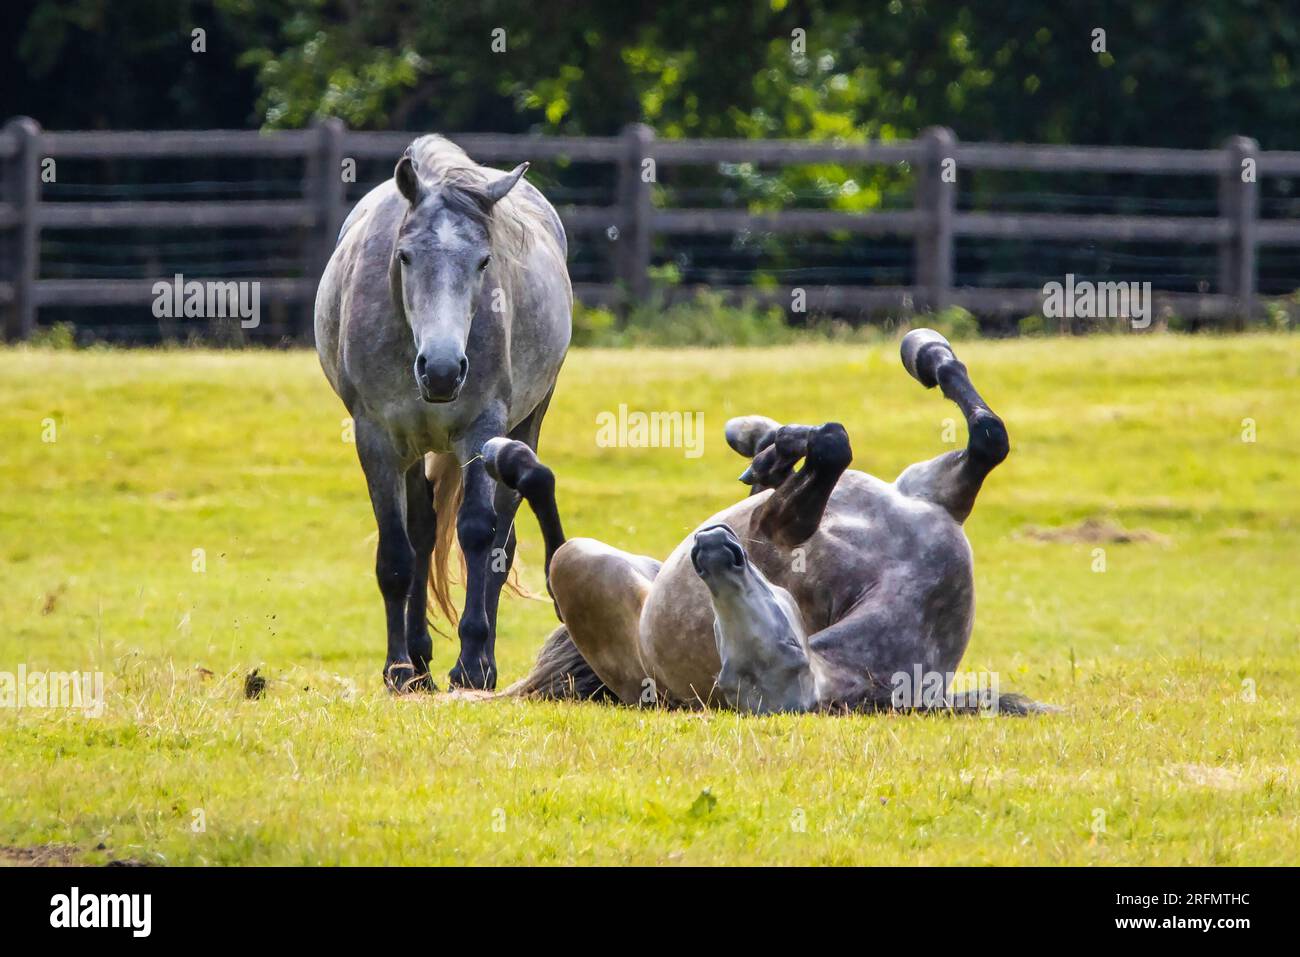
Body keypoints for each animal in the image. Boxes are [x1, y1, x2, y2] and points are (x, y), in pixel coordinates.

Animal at [315, 135, 571, 692]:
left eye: (483, 261)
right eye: (405, 256)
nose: (442, 370)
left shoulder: (482, 430)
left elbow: (477, 534)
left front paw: (471, 663)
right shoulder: (377, 437)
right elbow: (397, 552)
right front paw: (399, 669)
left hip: (526, 426)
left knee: (501, 540)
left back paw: (481, 663)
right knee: (423, 531)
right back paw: (419, 658)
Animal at [484, 329, 1053, 715]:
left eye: (783, 652)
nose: (715, 554)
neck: (911, 586)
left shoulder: (784, 526)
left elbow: (841, 450)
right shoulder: (928, 491)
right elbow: (982, 437)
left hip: (587, 565)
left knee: (555, 562)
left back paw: (512, 458)